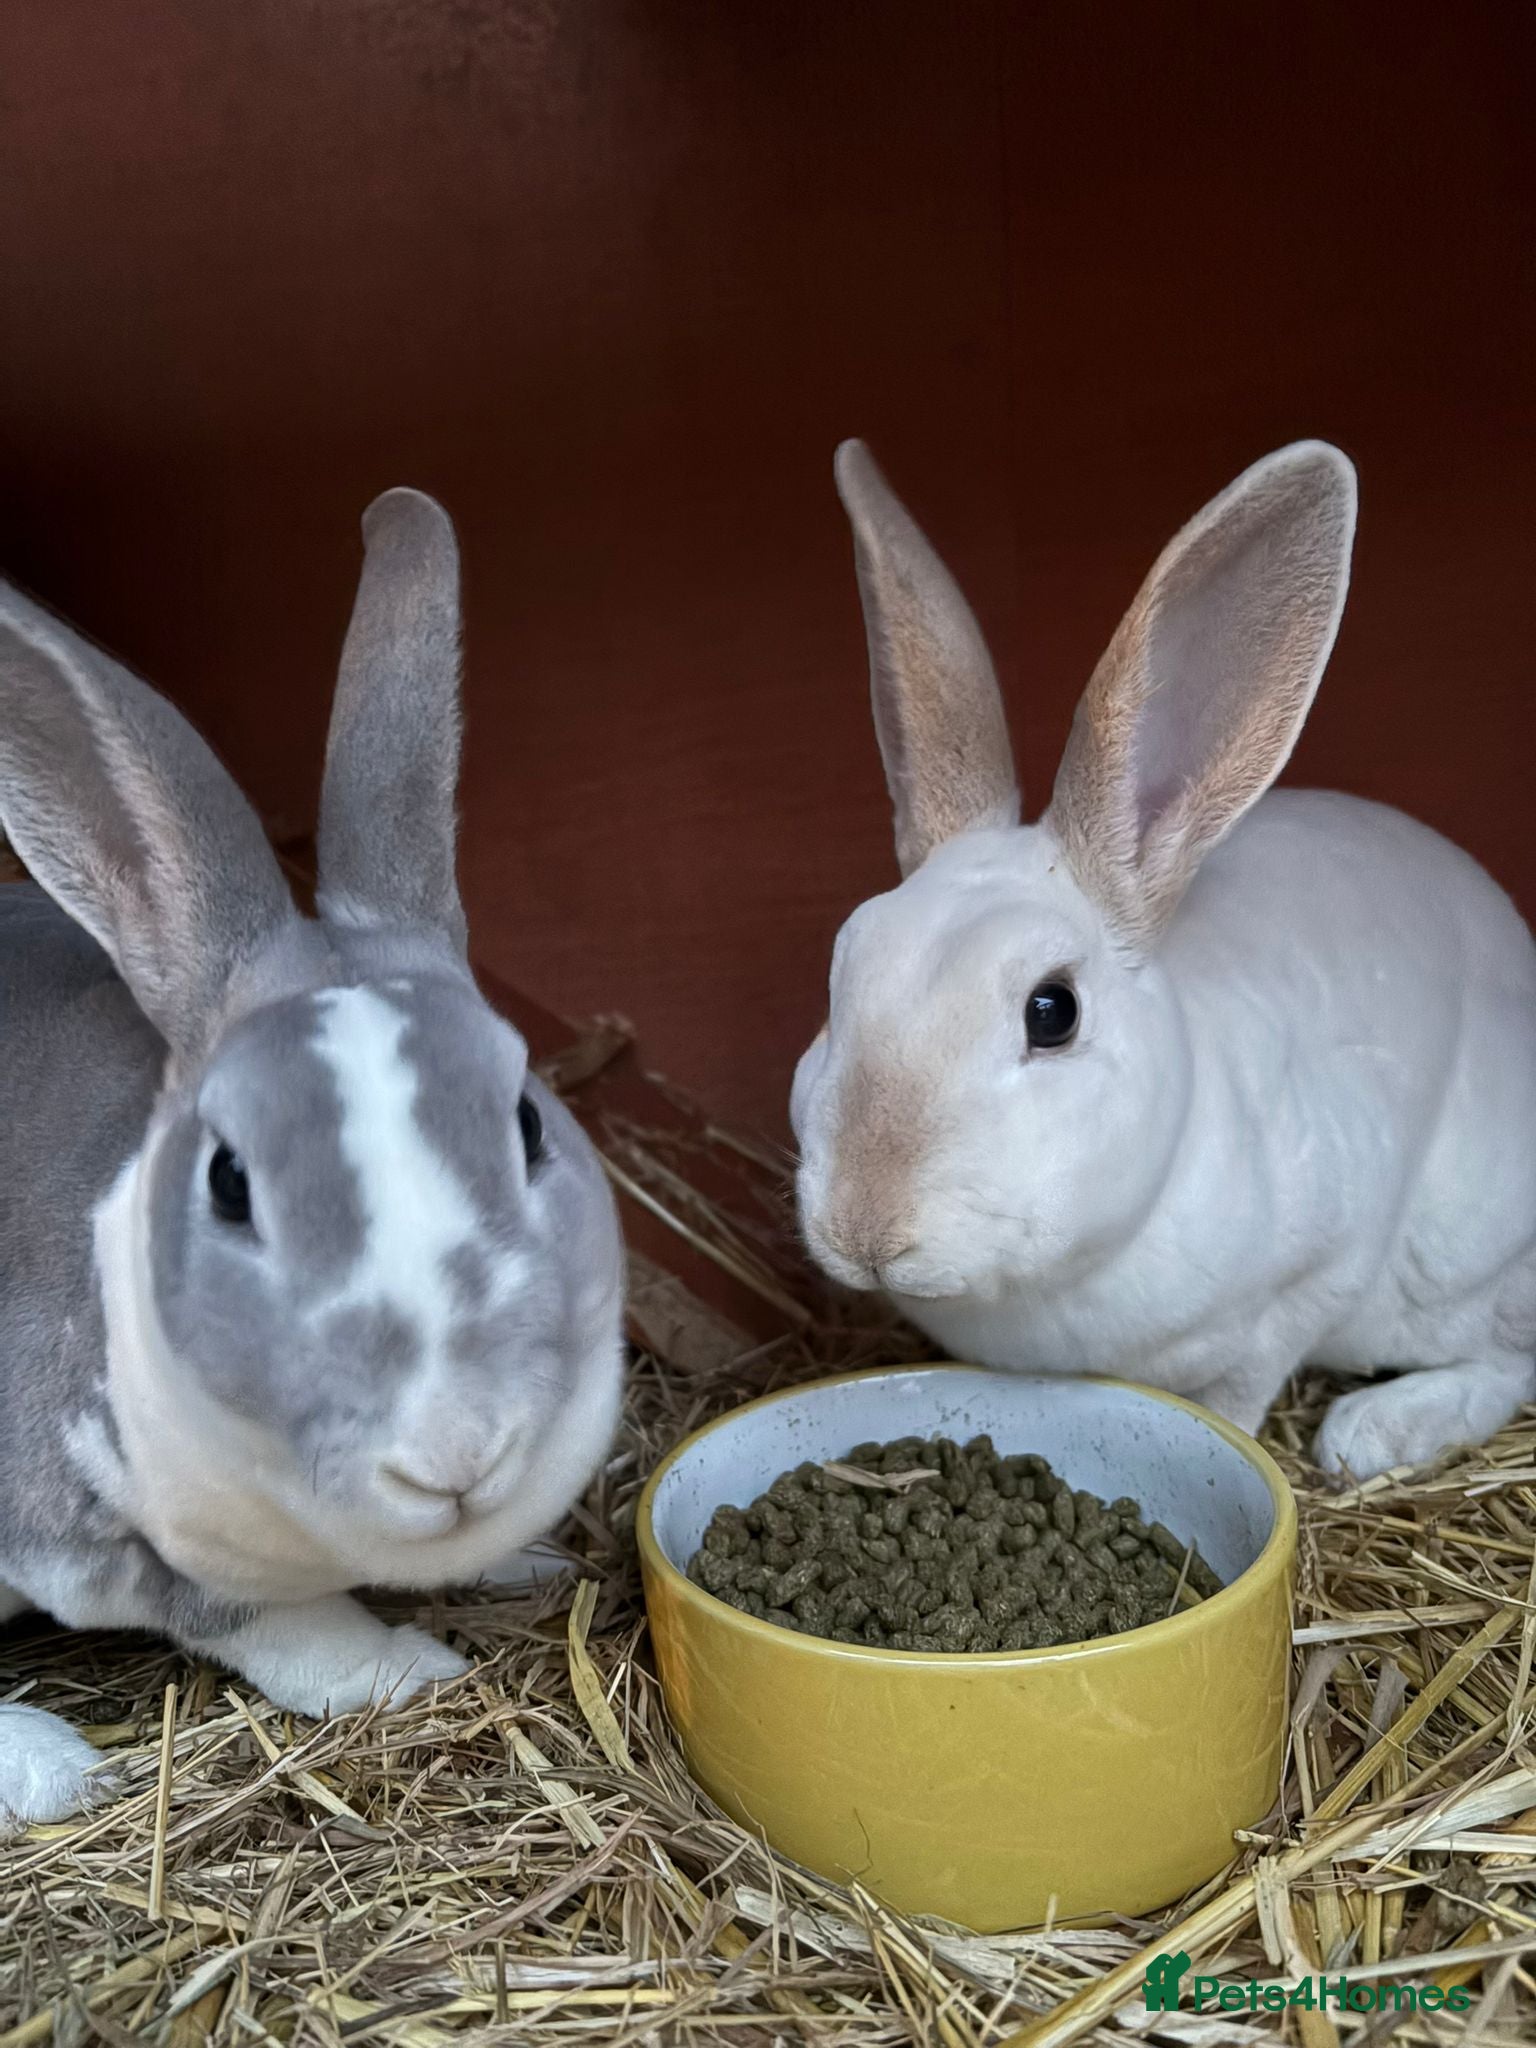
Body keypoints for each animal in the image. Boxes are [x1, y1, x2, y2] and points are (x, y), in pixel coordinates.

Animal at [0, 490, 625, 1835]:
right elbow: (278, 1623)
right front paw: (412, 1668)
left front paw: (529, 1558)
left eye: (527, 1118)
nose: (457, 1448)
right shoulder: (91, 1527)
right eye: (230, 1180)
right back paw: (56, 1765)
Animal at [792, 440, 1536, 1482]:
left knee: (1507, 1361)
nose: (866, 1225)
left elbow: (1243, 1389)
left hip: (1464, 1257)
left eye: (1052, 1011)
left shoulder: (1311, 1279)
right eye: (838, 979)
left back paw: (1371, 1432)